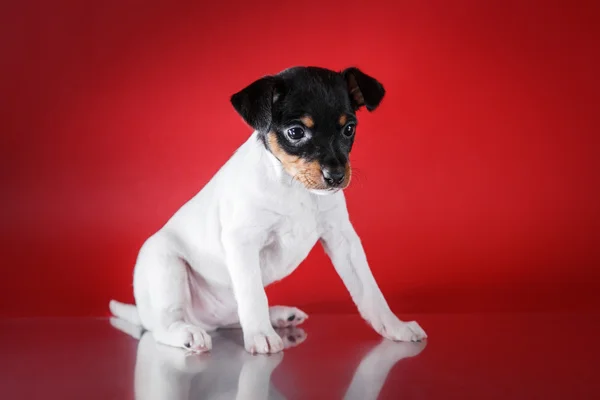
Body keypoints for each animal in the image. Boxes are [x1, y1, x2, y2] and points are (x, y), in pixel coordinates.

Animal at [108, 66, 426, 356]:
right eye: (296, 132)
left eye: (349, 129)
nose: (336, 176)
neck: (294, 187)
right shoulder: (243, 241)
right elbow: (253, 294)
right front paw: (260, 335)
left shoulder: (343, 240)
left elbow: (370, 291)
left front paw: (394, 327)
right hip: (163, 263)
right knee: (163, 325)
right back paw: (190, 333)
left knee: (233, 316)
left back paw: (279, 316)